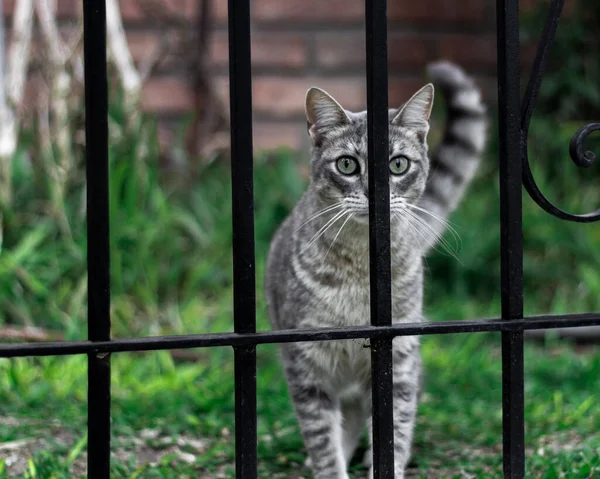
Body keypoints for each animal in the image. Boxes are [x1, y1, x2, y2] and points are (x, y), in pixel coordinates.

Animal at [266, 62, 488, 478]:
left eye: (397, 164)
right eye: (347, 164)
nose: (375, 193)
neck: (360, 272)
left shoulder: (397, 359)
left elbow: (395, 430)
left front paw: (385, 462)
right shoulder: (306, 362)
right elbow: (322, 438)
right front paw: (331, 466)